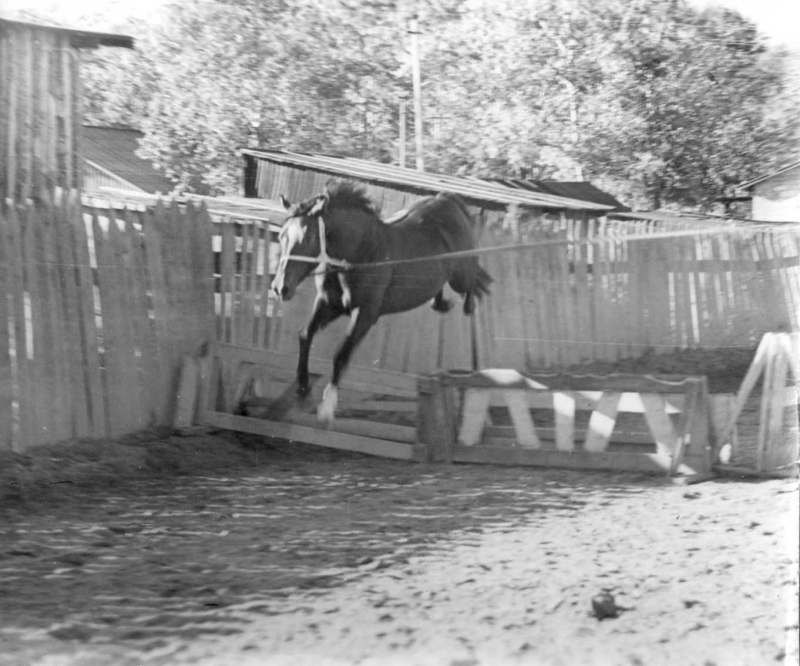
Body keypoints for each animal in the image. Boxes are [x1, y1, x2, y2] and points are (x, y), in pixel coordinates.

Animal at [272, 182, 490, 420]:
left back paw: (469, 311)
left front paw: (327, 406)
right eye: (281, 236)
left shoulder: (365, 314)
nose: (280, 287)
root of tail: (448, 199)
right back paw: (442, 304)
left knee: (473, 285)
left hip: (460, 275)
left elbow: (341, 354)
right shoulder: (328, 304)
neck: (361, 255)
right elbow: (305, 335)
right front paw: (302, 386)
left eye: (309, 238)